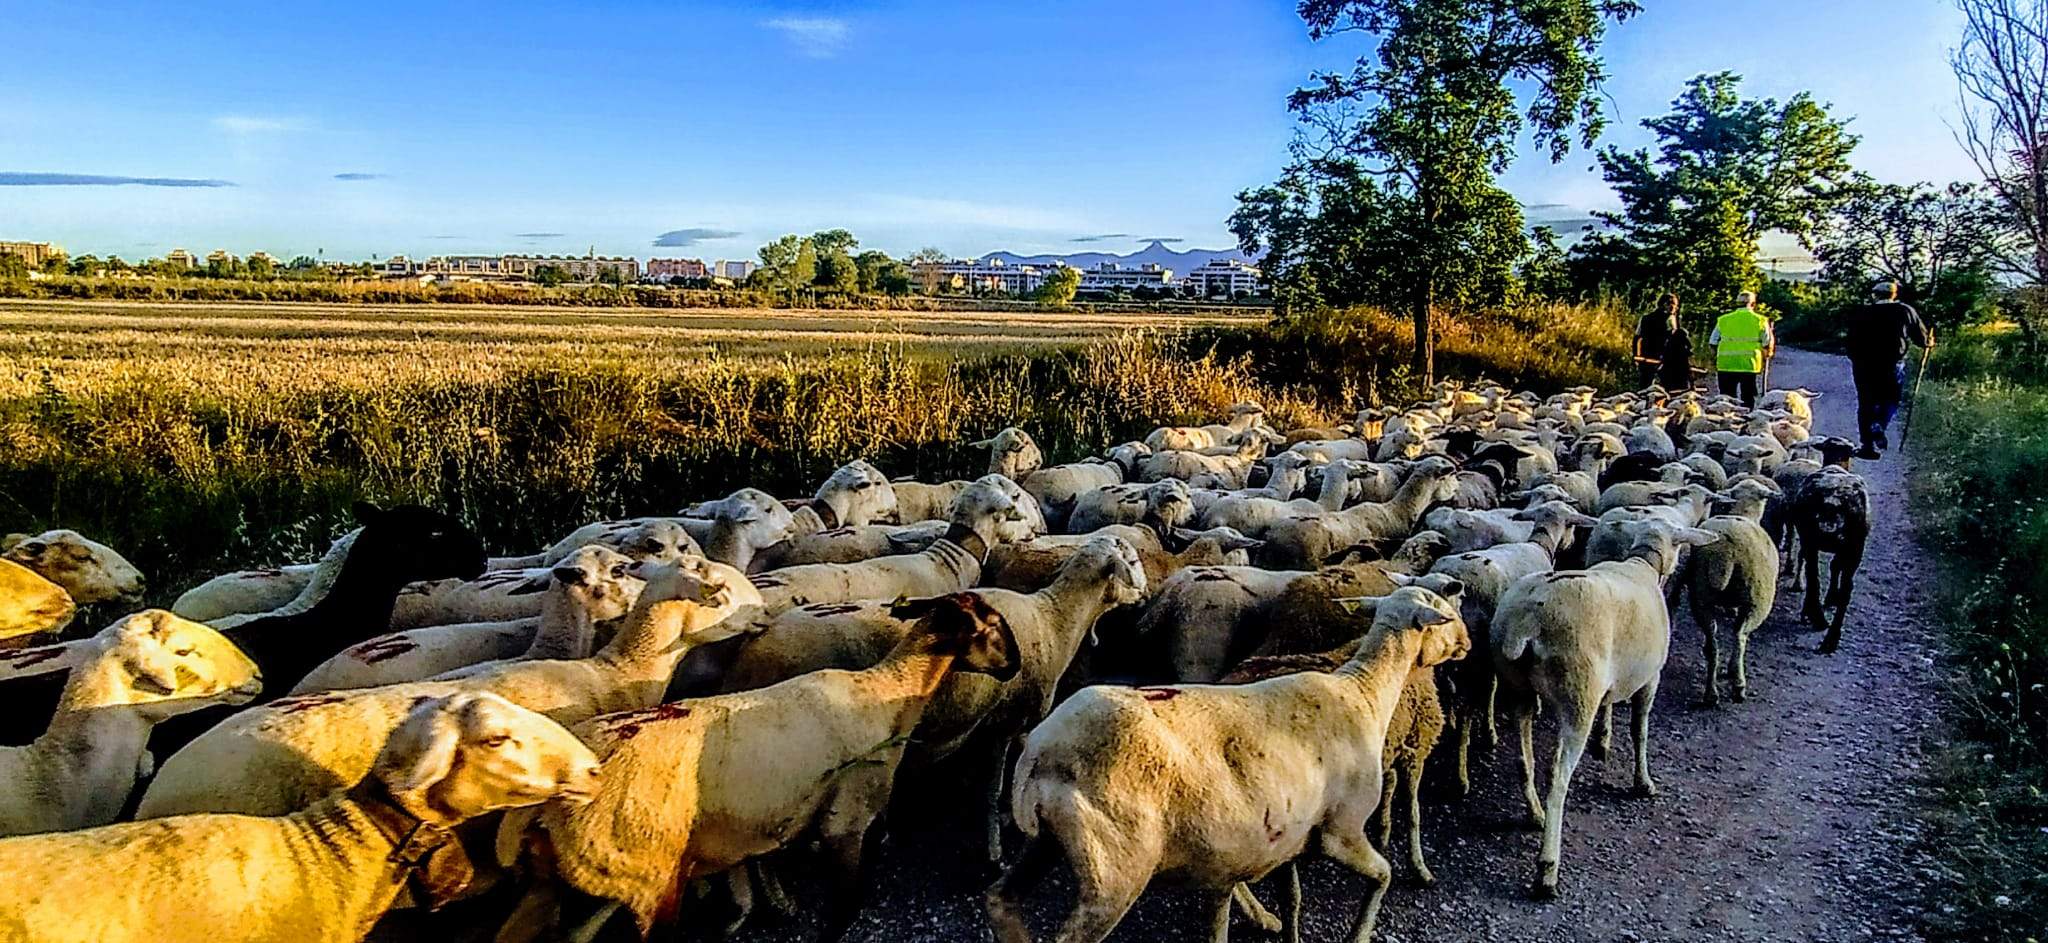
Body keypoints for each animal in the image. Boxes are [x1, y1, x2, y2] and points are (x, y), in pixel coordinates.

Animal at [496, 592, 1022, 942]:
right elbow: (846, 908)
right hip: (647, 876)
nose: (1015, 666)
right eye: (994, 625)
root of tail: (539, 805)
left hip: (565, 884)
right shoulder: (846, 821)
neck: (887, 690)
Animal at [986, 585, 1469, 943]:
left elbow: (1283, 900)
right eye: (1444, 611)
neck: (1363, 694)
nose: (1466, 643)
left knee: (999, 901)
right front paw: (1360, 933)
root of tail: (1038, 754)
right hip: (1112, 869)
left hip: (1048, 843)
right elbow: (1382, 877)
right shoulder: (1341, 831)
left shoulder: (1286, 839)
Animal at [1492, 519, 1720, 897]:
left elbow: (1610, 706)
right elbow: (1640, 731)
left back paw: (1533, 813)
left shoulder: (1613, 682)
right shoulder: (1650, 679)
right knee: (1558, 777)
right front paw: (1643, 782)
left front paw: (1603, 740)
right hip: (1577, 693)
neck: (1642, 564)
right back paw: (1547, 868)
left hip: (1517, 689)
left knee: (1524, 759)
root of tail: (1527, 619)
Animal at [1687, 513, 1780, 704]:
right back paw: (1738, 686)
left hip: (1701, 597)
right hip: (1756, 600)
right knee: (1739, 637)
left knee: (1712, 646)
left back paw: (1711, 694)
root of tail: (1725, 553)